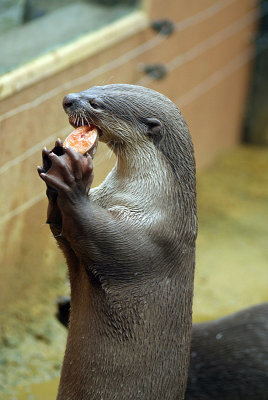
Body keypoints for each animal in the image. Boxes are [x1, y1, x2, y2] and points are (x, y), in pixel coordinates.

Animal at [37, 84, 197, 400]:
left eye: (96, 103)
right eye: (93, 87)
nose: (67, 99)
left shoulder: (151, 237)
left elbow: (101, 235)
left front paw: (71, 178)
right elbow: (61, 230)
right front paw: (54, 163)